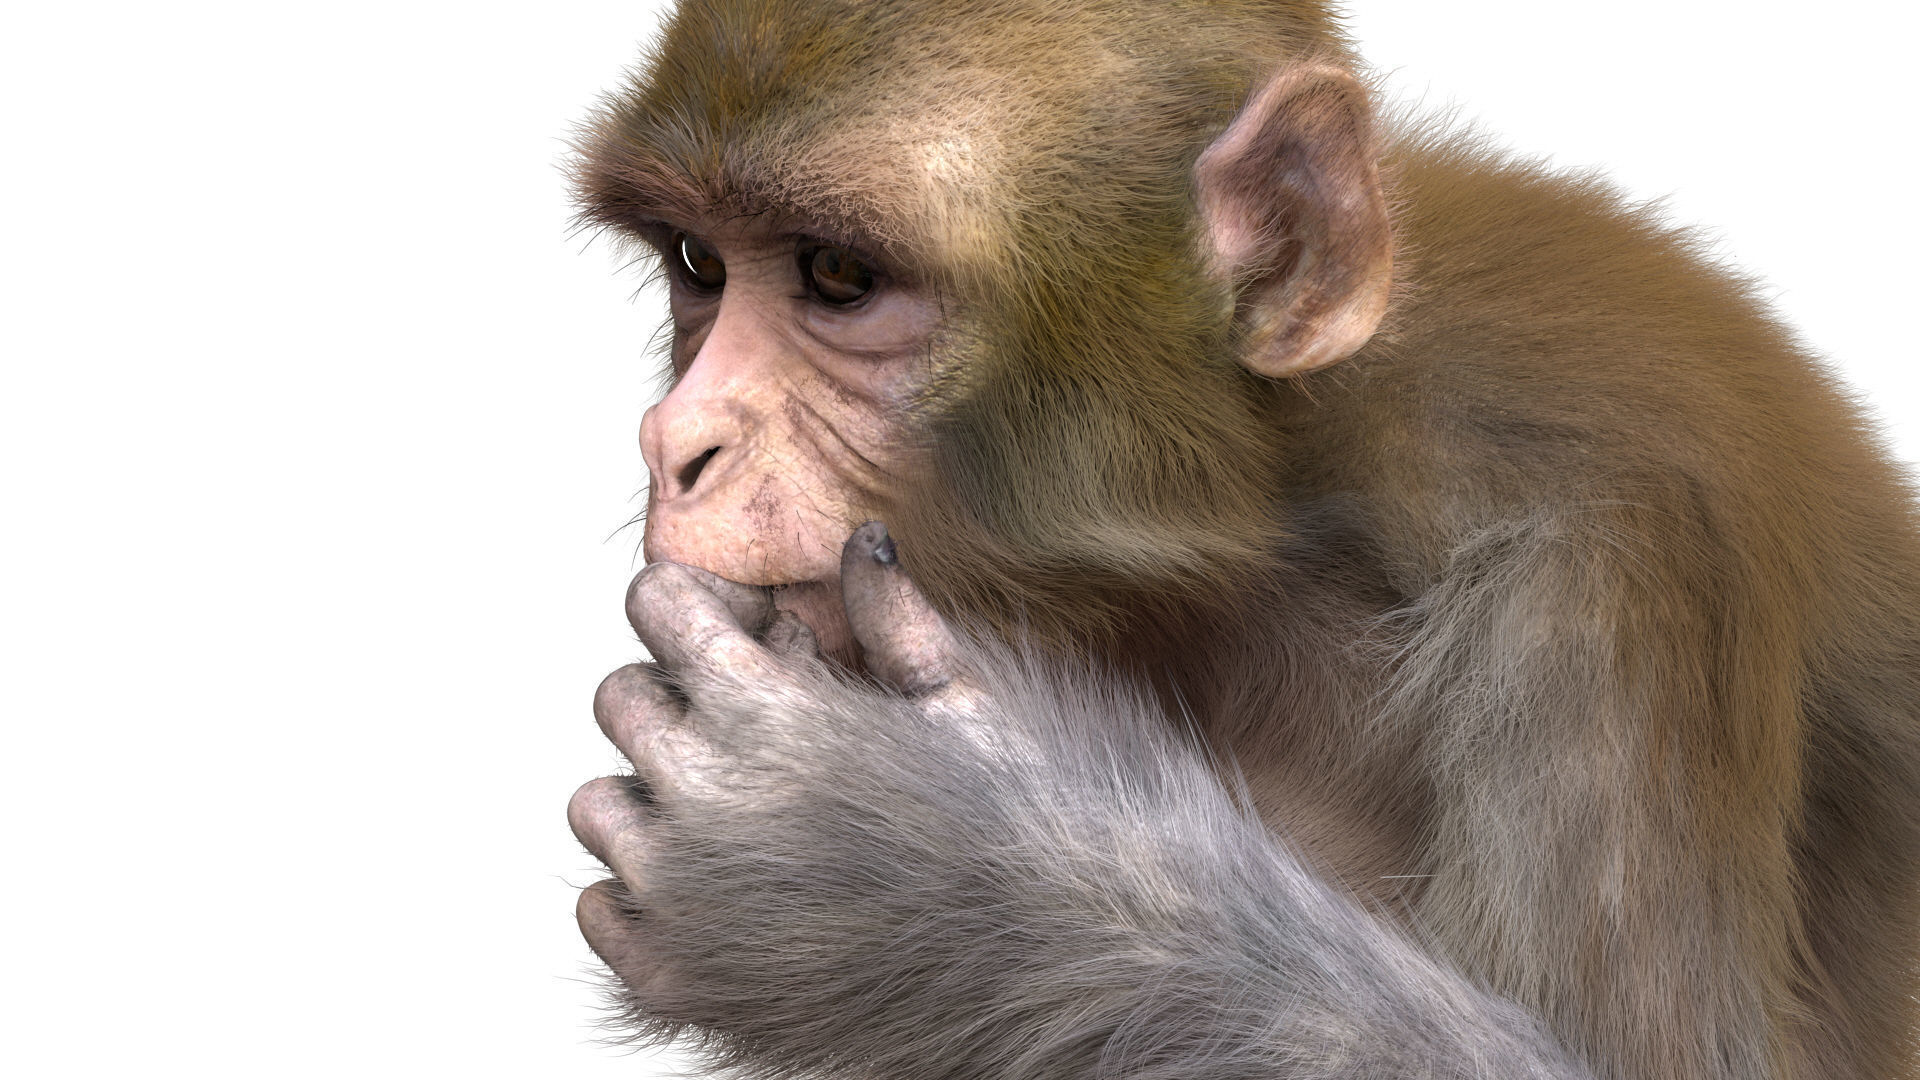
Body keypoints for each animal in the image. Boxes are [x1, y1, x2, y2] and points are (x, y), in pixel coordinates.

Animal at [565, 2, 1920, 1078]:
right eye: (697, 264)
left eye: (837, 276)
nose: (675, 442)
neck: (1284, 523)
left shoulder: (1620, 565)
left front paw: (890, 863)